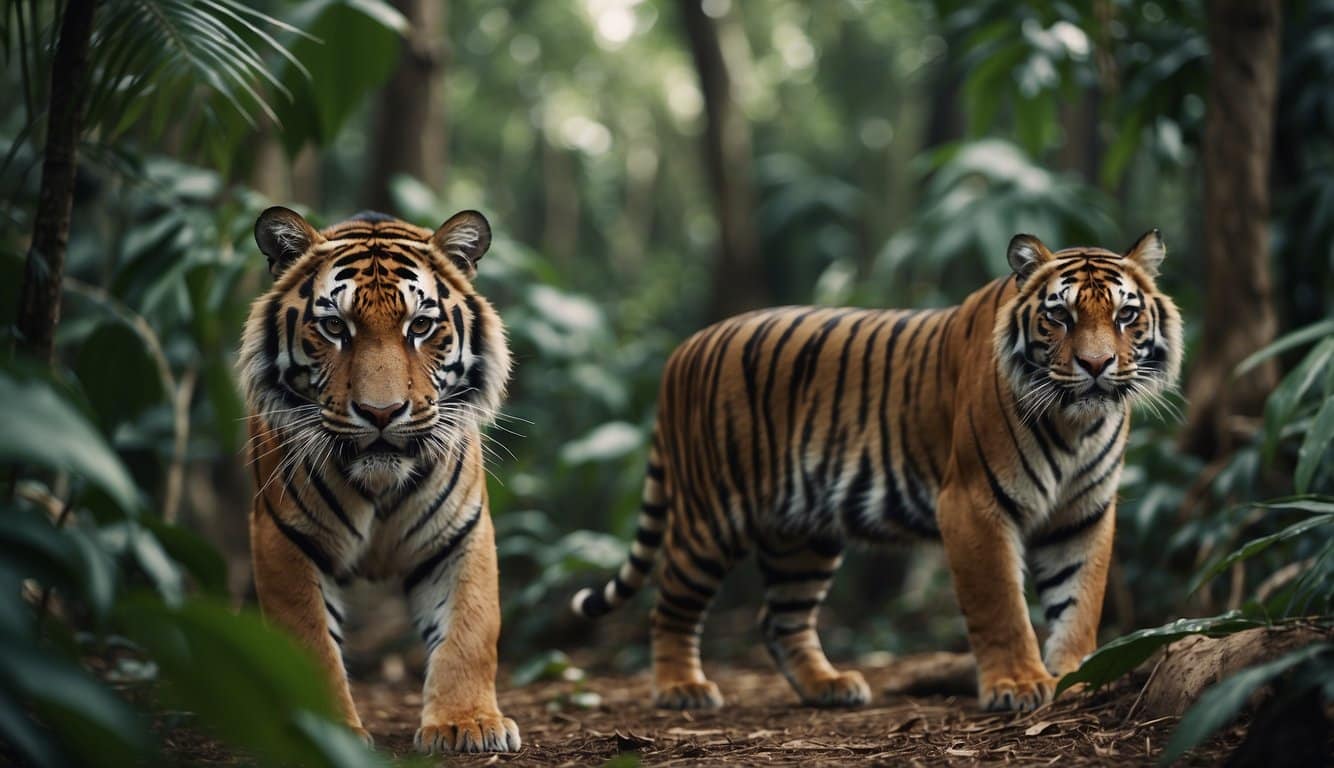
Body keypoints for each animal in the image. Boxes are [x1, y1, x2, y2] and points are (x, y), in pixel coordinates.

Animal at [238, 207, 520, 753]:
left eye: (421, 325)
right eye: (333, 326)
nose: (382, 412)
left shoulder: (462, 532)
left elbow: (470, 629)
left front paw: (467, 722)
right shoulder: (283, 536)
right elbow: (309, 640)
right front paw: (324, 731)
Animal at [572, 231, 1182, 713]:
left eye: (1126, 315)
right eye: (1059, 315)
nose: (1097, 366)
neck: (1077, 424)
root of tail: (682, 351)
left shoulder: (1084, 512)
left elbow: (1080, 601)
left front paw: (1077, 676)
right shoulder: (973, 504)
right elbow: (1001, 605)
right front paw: (1017, 684)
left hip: (803, 534)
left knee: (780, 618)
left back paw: (829, 686)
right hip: (710, 516)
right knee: (670, 603)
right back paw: (682, 689)